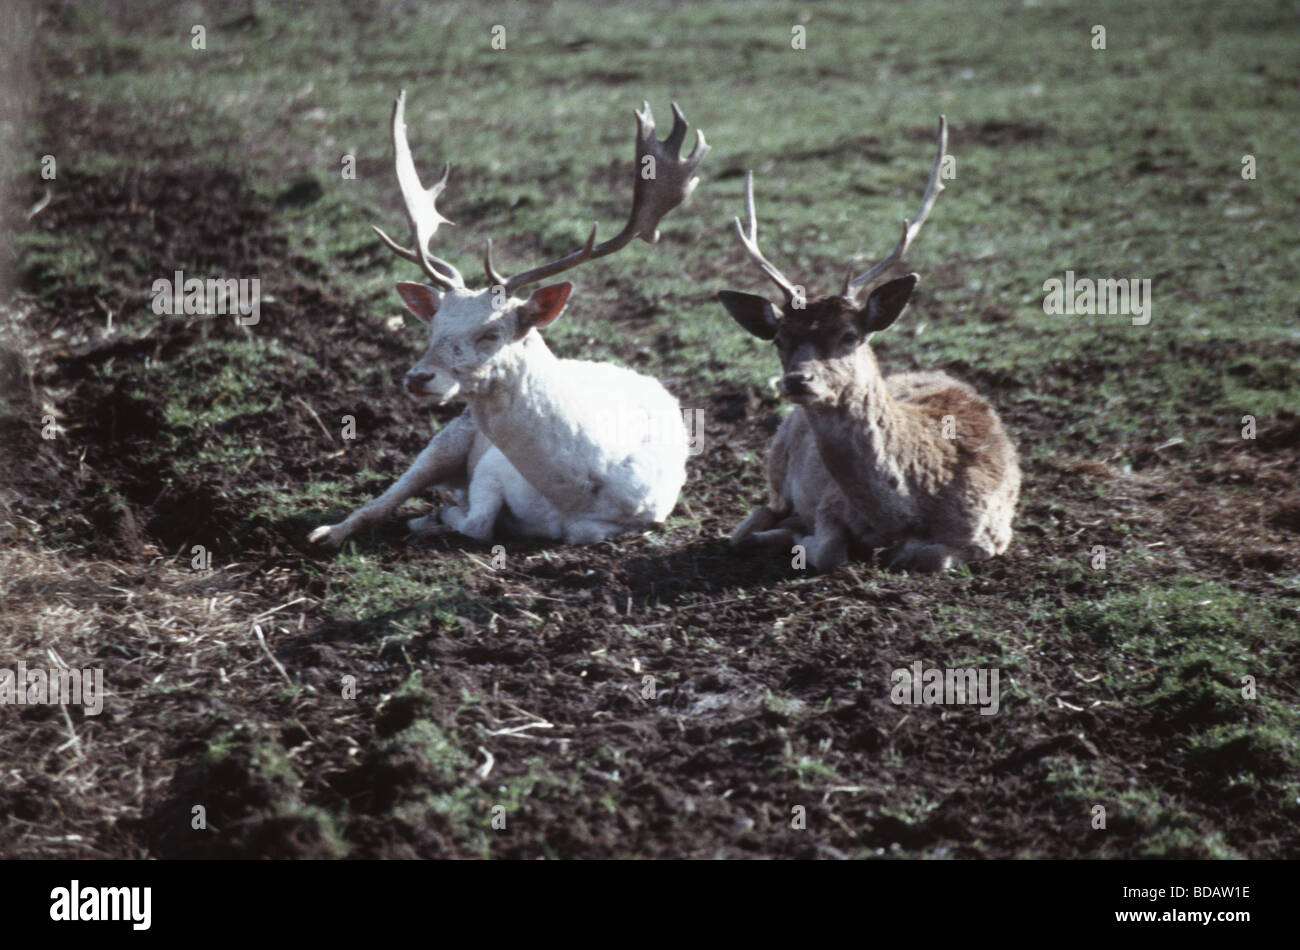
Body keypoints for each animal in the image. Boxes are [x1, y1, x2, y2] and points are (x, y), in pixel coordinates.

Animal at [308, 91, 709, 549]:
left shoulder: (642, 514)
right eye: (433, 327)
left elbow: (555, 530)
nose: (418, 377)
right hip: (449, 436)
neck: (575, 490)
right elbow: (478, 522)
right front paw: (438, 516)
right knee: (388, 496)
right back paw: (328, 532)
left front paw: (438, 517)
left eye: (492, 332)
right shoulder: (491, 469)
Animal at [716, 116, 1020, 573]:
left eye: (849, 336)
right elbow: (828, 551)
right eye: (781, 339)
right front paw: (804, 540)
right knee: (757, 515)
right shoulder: (828, 502)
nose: (797, 380)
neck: (906, 510)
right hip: (778, 457)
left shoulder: (990, 531)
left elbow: (932, 555)